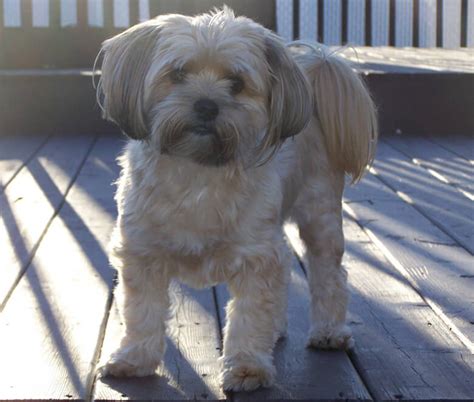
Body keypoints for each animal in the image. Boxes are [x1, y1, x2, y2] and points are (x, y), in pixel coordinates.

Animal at [95, 6, 378, 392]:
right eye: (178, 73)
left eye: (237, 82)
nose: (206, 105)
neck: (199, 172)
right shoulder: (142, 254)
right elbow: (142, 312)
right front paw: (133, 359)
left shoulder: (255, 255)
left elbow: (249, 314)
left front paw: (247, 367)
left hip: (320, 216)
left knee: (328, 275)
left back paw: (329, 331)